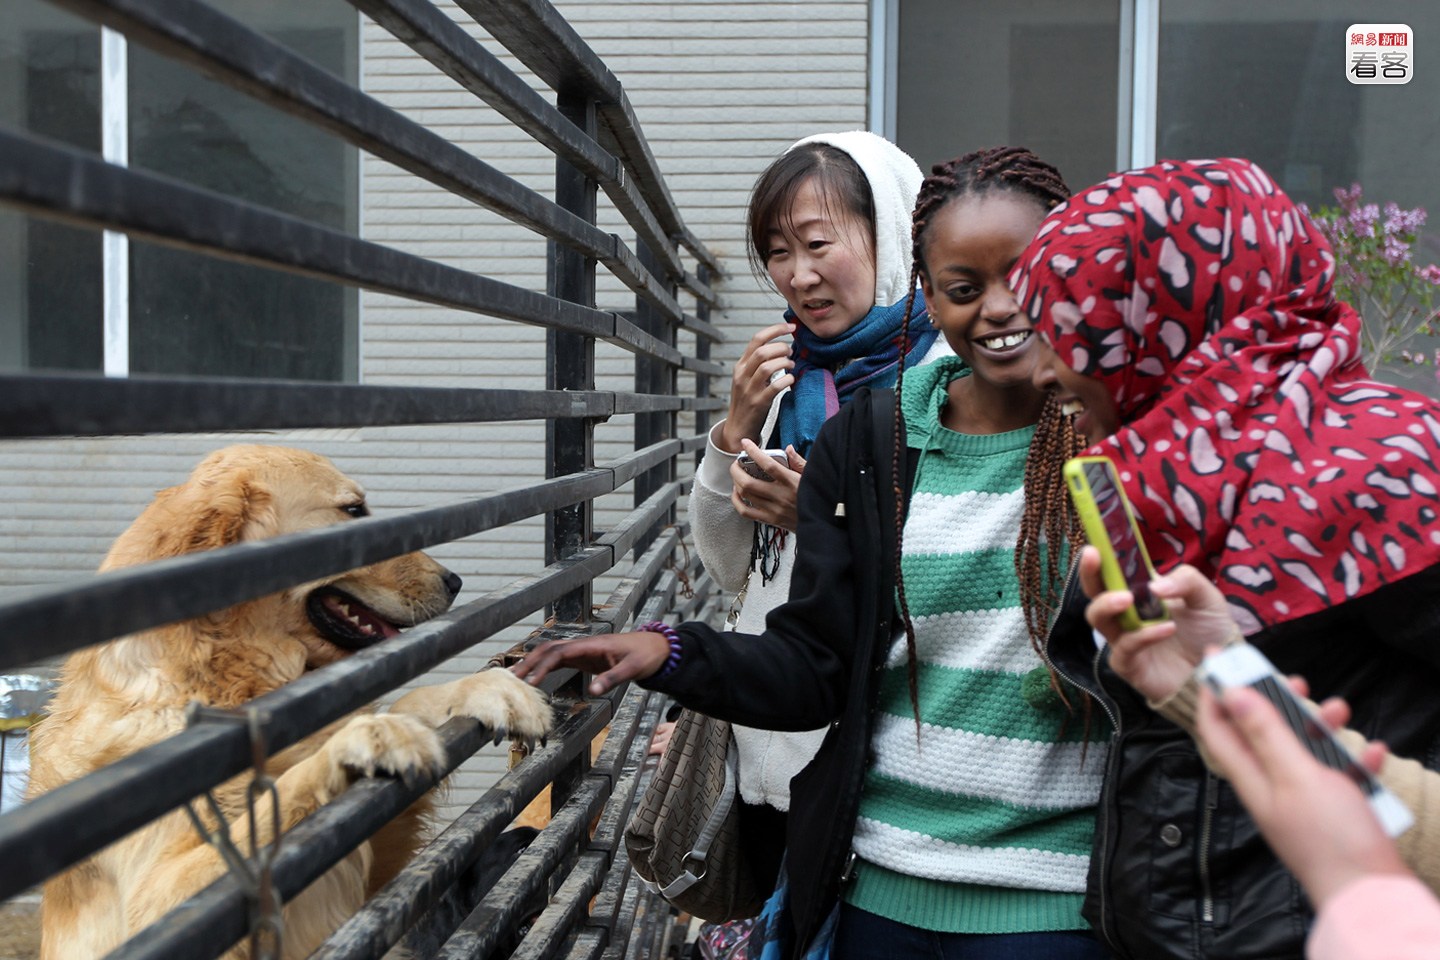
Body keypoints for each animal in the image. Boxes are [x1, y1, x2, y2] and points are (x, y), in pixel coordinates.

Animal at [29, 446, 555, 955]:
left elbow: (413, 703)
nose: (455, 581)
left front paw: (486, 690)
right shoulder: (161, 907)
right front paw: (367, 736)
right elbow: (280, 793)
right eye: (352, 510)